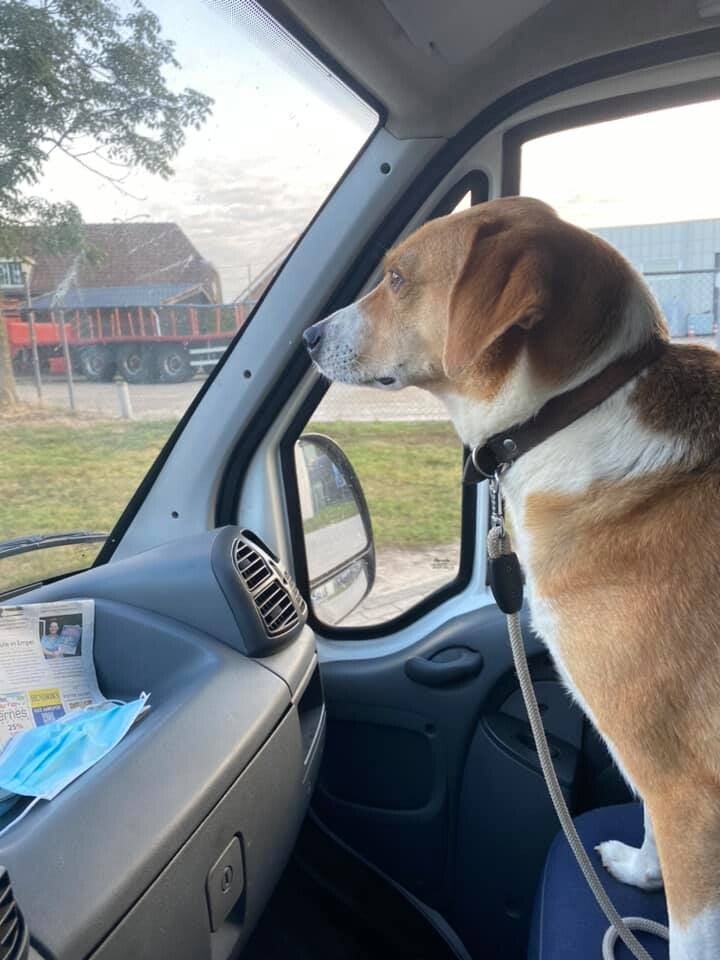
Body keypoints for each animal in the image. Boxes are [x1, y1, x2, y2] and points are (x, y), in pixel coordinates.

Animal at [303, 196, 720, 959]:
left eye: (397, 277)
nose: (308, 338)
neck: (576, 409)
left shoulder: (692, 795)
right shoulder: (659, 761)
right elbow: (648, 820)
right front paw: (641, 875)